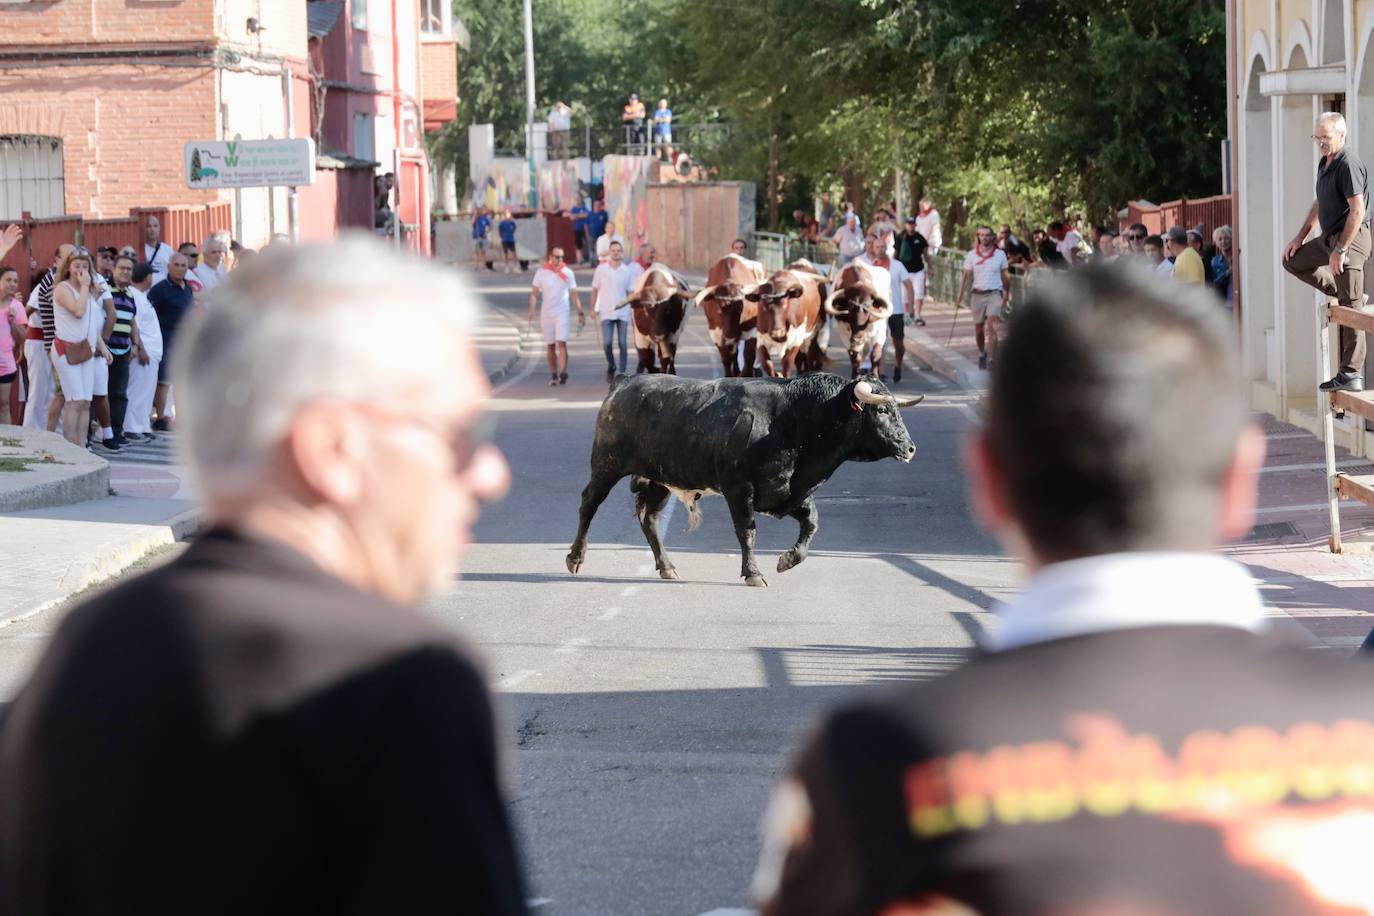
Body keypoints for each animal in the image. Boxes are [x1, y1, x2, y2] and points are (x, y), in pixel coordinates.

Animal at [557, 373, 923, 587]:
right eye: (882, 411)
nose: (910, 447)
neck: (793, 420)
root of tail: (623, 382)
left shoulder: (789, 492)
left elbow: (812, 524)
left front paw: (788, 560)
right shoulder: (739, 489)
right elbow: (747, 532)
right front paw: (754, 574)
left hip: (659, 479)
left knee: (649, 520)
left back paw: (667, 567)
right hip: (606, 466)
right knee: (589, 504)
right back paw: (575, 558)